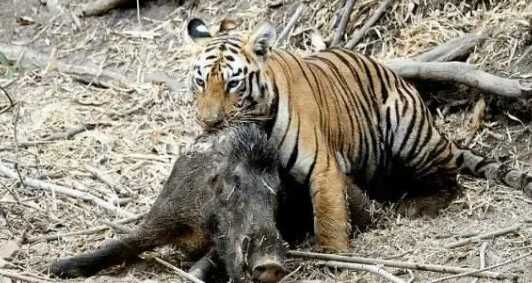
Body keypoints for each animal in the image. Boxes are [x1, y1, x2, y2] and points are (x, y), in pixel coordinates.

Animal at [184, 18, 532, 253]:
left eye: (233, 84)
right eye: (200, 81)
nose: (209, 122)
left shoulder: (322, 167)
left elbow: (329, 215)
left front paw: (333, 255)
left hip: (407, 131)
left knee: (450, 177)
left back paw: (420, 205)